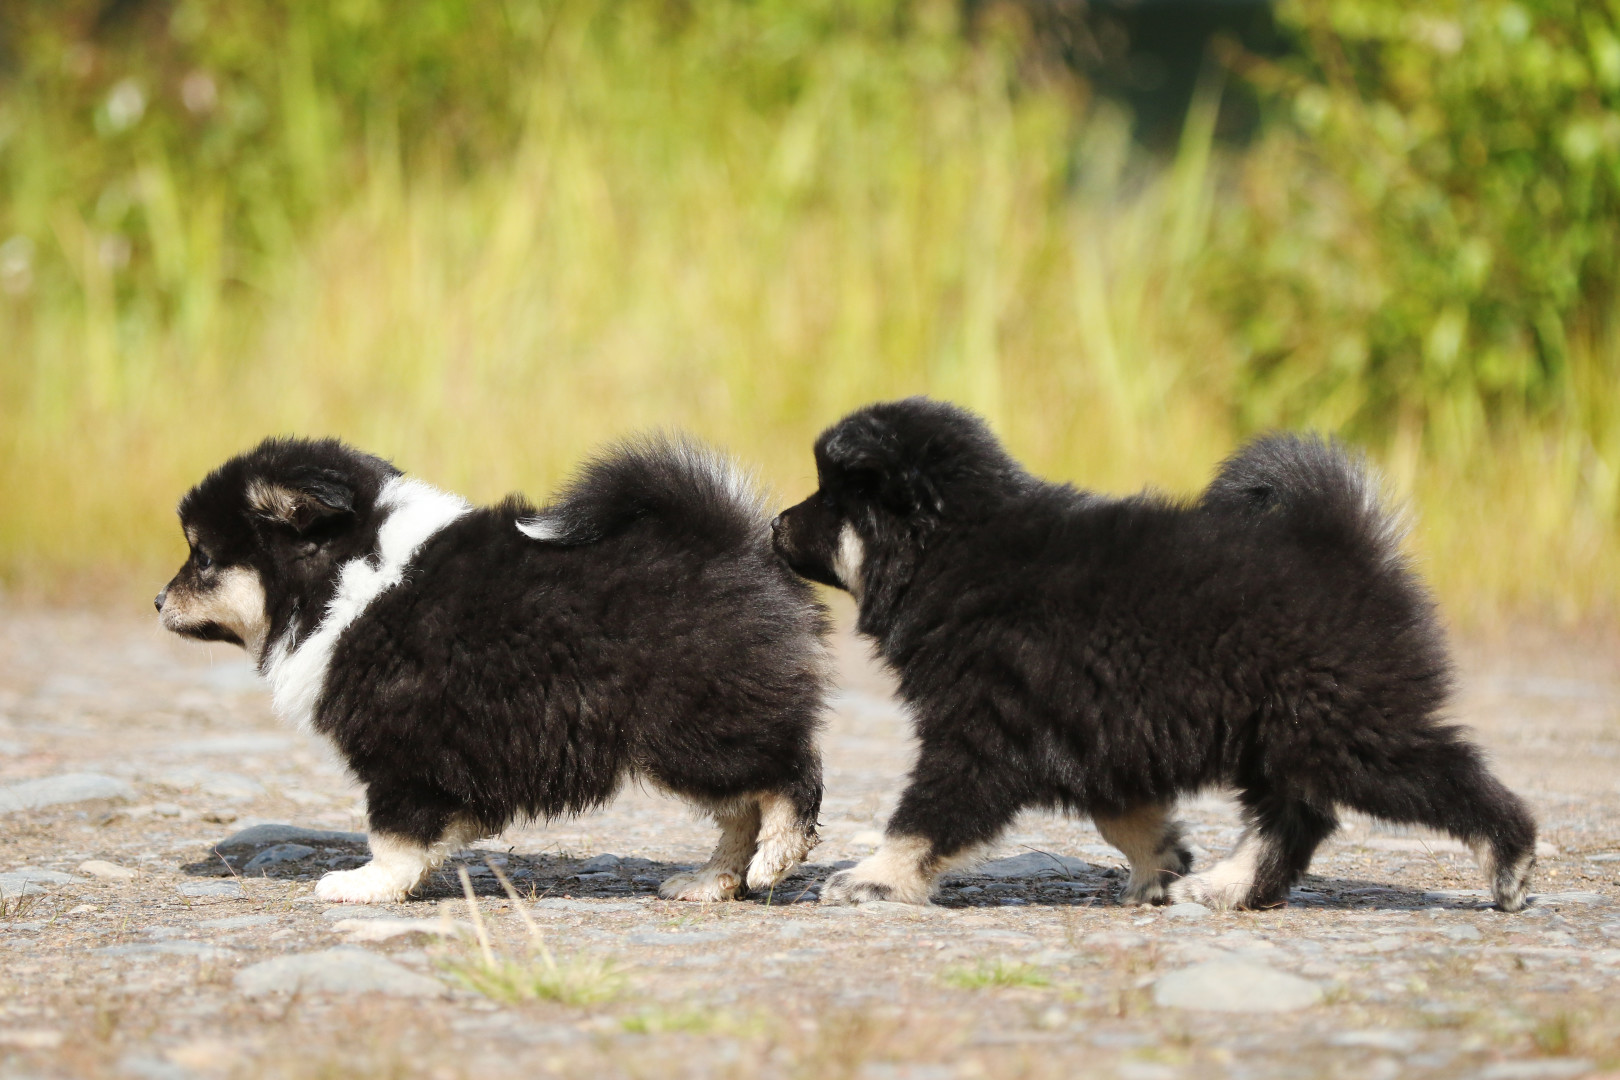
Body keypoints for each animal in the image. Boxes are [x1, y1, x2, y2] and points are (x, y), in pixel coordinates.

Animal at [157, 437, 829, 906]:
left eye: (204, 559)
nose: (159, 602)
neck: (346, 575)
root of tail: (733, 541)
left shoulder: (402, 751)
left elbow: (392, 832)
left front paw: (367, 884)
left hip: (690, 727)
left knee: (789, 777)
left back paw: (777, 855)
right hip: (691, 737)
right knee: (742, 807)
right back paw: (712, 880)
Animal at [771, 396, 1529, 913]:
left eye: (831, 499)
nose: (776, 524)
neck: (953, 552)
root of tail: (1346, 545)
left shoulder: (981, 730)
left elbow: (924, 816)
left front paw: (873, 877)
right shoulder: (1094, 728)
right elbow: (1123, 815)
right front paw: (1162, 864)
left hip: (1344, 728)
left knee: (1450, 778)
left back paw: (1511, 862)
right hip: (1281, 735)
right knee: (1293, 821)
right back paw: (1225, 887)